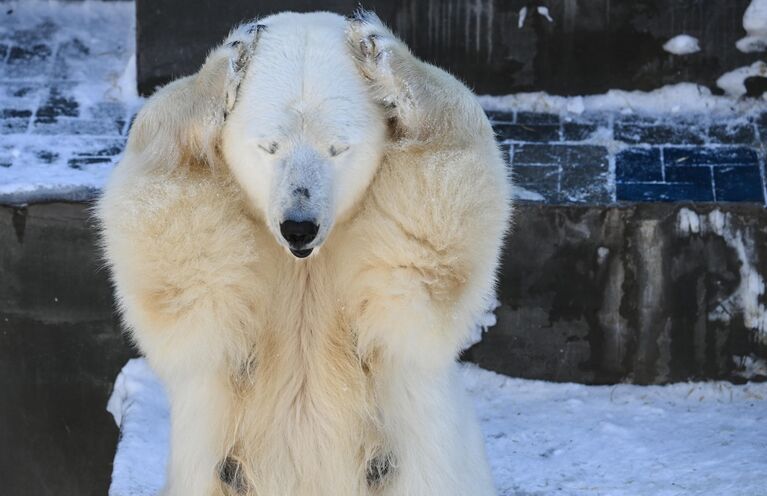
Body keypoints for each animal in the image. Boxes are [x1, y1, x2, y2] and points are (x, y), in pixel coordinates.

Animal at [99, 10, 512, 496]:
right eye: (269, 145)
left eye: (338, 147)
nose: (299, 225)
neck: (304, 265)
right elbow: (182, 283)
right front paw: (228, 63)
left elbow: (422, 268)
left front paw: (380, 51)